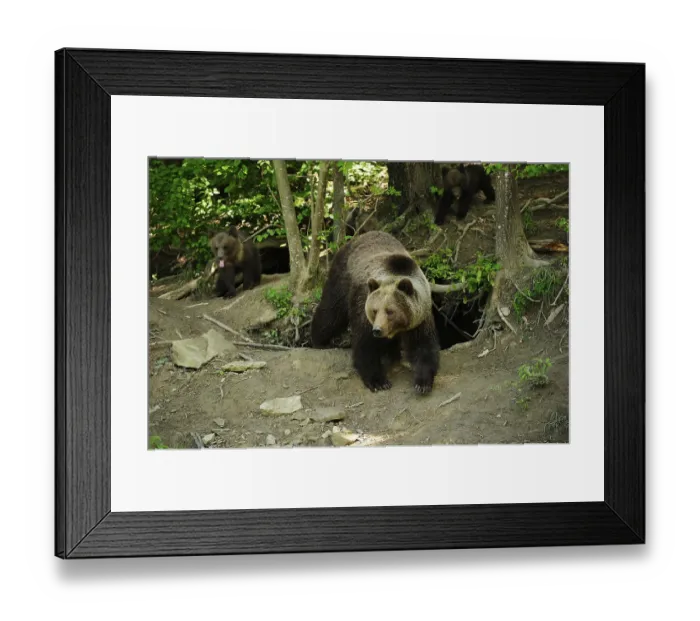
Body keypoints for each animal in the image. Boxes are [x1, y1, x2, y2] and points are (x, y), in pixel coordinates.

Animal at [311, 230, 440, 395]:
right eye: (374, 310)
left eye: (390, 311)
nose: (378, 330)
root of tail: (357, 237)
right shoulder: (363, 308)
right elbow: (365, 345)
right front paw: (378, 381)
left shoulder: (420, 317)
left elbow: (423, 346)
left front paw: (422, 383)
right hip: (342, 277)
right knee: (331, 313)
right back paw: (319, 341)